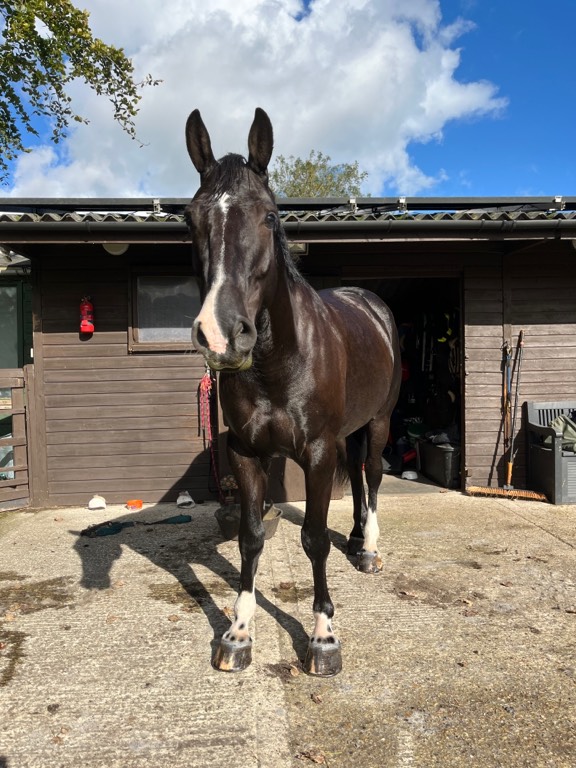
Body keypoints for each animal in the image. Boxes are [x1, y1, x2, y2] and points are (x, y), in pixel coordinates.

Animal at [185, 108, 401, 676]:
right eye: (190, 220)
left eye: (268, 216)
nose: (221, 333)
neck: (278, 363)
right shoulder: (245, 453)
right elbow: (250, 537)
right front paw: (238, 632)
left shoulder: (319, 453)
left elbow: (314, 541)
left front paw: (323, 636)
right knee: (358, 483)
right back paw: (356, 538)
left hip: (378, 423)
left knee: (373, 475)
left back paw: (368, 549)